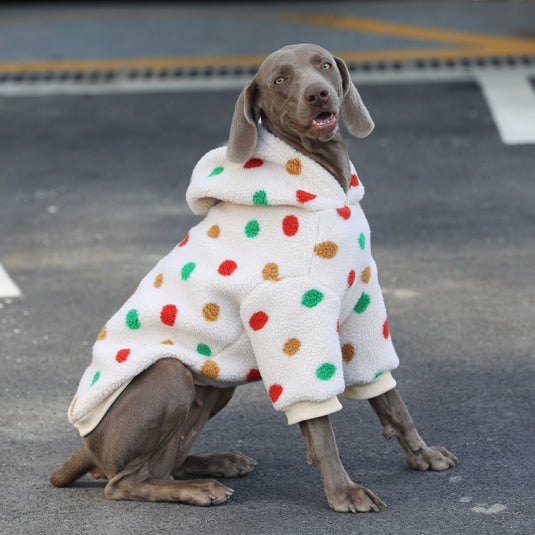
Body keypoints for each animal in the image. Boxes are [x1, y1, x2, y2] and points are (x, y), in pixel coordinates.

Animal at [50, 44, 458, 512]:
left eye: (323, 64)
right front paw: (343, 492)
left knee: (164, 465)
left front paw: (421, 454)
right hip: (170, 375)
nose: (318, 94)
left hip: (212, 387)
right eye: (280, 80)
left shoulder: (361, 302)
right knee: (124, 481)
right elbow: (320, 424)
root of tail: (87, 446)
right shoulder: (292, 313)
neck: (326, 183)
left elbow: (389, 397)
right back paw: (199, 488)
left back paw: (216, 465)